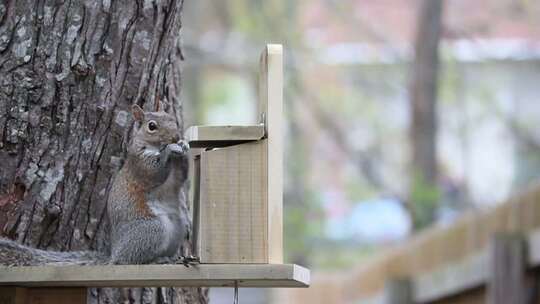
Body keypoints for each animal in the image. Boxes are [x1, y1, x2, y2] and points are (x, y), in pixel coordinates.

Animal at [0, 102, 190, 266]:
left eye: (172, 119)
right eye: (151, 126)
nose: (176, 137)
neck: (154, 148)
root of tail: (114, 254)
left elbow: (182, 176)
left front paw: (184, 145)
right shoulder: (140, 166)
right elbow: (155, 174)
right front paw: (170, 149)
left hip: (177, 227)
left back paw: (170, 257)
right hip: (151, 230)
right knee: (129, 260)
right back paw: (156, 260)